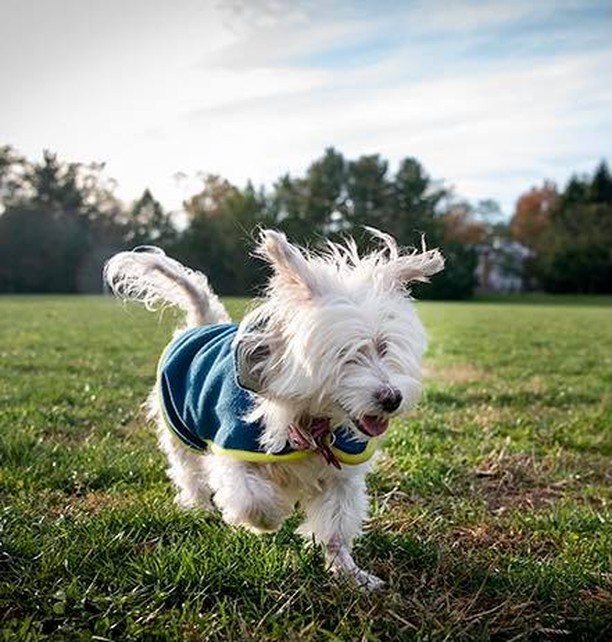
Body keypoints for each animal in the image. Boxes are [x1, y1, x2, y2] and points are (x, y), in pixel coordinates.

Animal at [103, 228, 442, 588]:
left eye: (383, 347)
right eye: (345, 355)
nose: (392, 398)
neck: (313, 419)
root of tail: (202, 323)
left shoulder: (341, 477)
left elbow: (335, 527)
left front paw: (349, 574)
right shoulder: (234, 450)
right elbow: (252, 498)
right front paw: (270, 516)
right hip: (180, 428)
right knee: (188, 472)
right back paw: (198, 506)